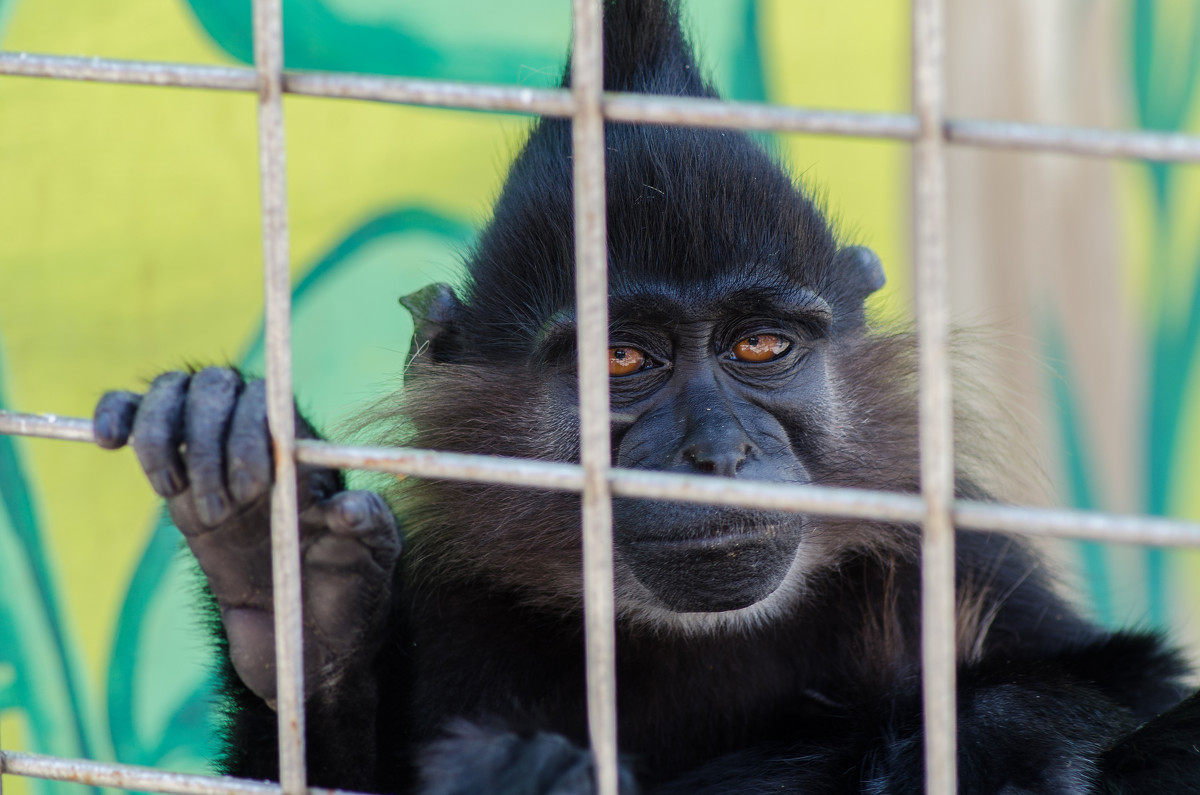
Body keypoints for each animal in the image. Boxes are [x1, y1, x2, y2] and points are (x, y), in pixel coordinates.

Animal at [93, 1, 1200, 795]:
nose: (717, 450)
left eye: (761, 345)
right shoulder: (454, 598)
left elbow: (1126, 686)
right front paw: (295, 595)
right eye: (622, 360)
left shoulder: (961, 548)